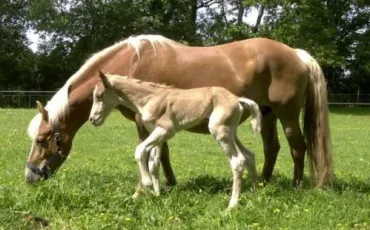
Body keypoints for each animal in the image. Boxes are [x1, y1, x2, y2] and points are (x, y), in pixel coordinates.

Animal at [25, 34, 332, 189]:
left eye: (41, 141)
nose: (30, 177)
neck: (130, 63)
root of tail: (296, 54)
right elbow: (162, 153)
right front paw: (169, 183)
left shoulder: (143, 122)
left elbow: (150, 153)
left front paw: (152, 186)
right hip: (267, 114)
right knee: (271, 148)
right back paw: (265, 182)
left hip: (287, 115)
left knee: (297, 147)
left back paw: (296, 185)